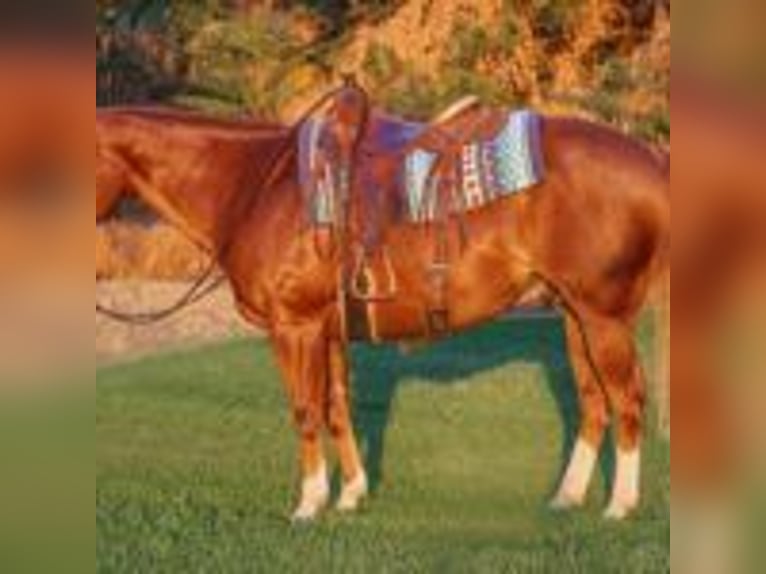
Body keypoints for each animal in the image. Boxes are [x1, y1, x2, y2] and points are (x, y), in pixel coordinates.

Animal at [97, 97, 672, 524]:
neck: (255, 186)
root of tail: (650, 159)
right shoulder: (327, 330)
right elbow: (336, 407)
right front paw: (351, 494)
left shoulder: (295, 327)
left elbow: (305, 410)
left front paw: (309, 504)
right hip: (574, 313)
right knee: (594, 403)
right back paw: (567, 497)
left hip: (603, 318)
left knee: (627, 400)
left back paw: (620, 506)